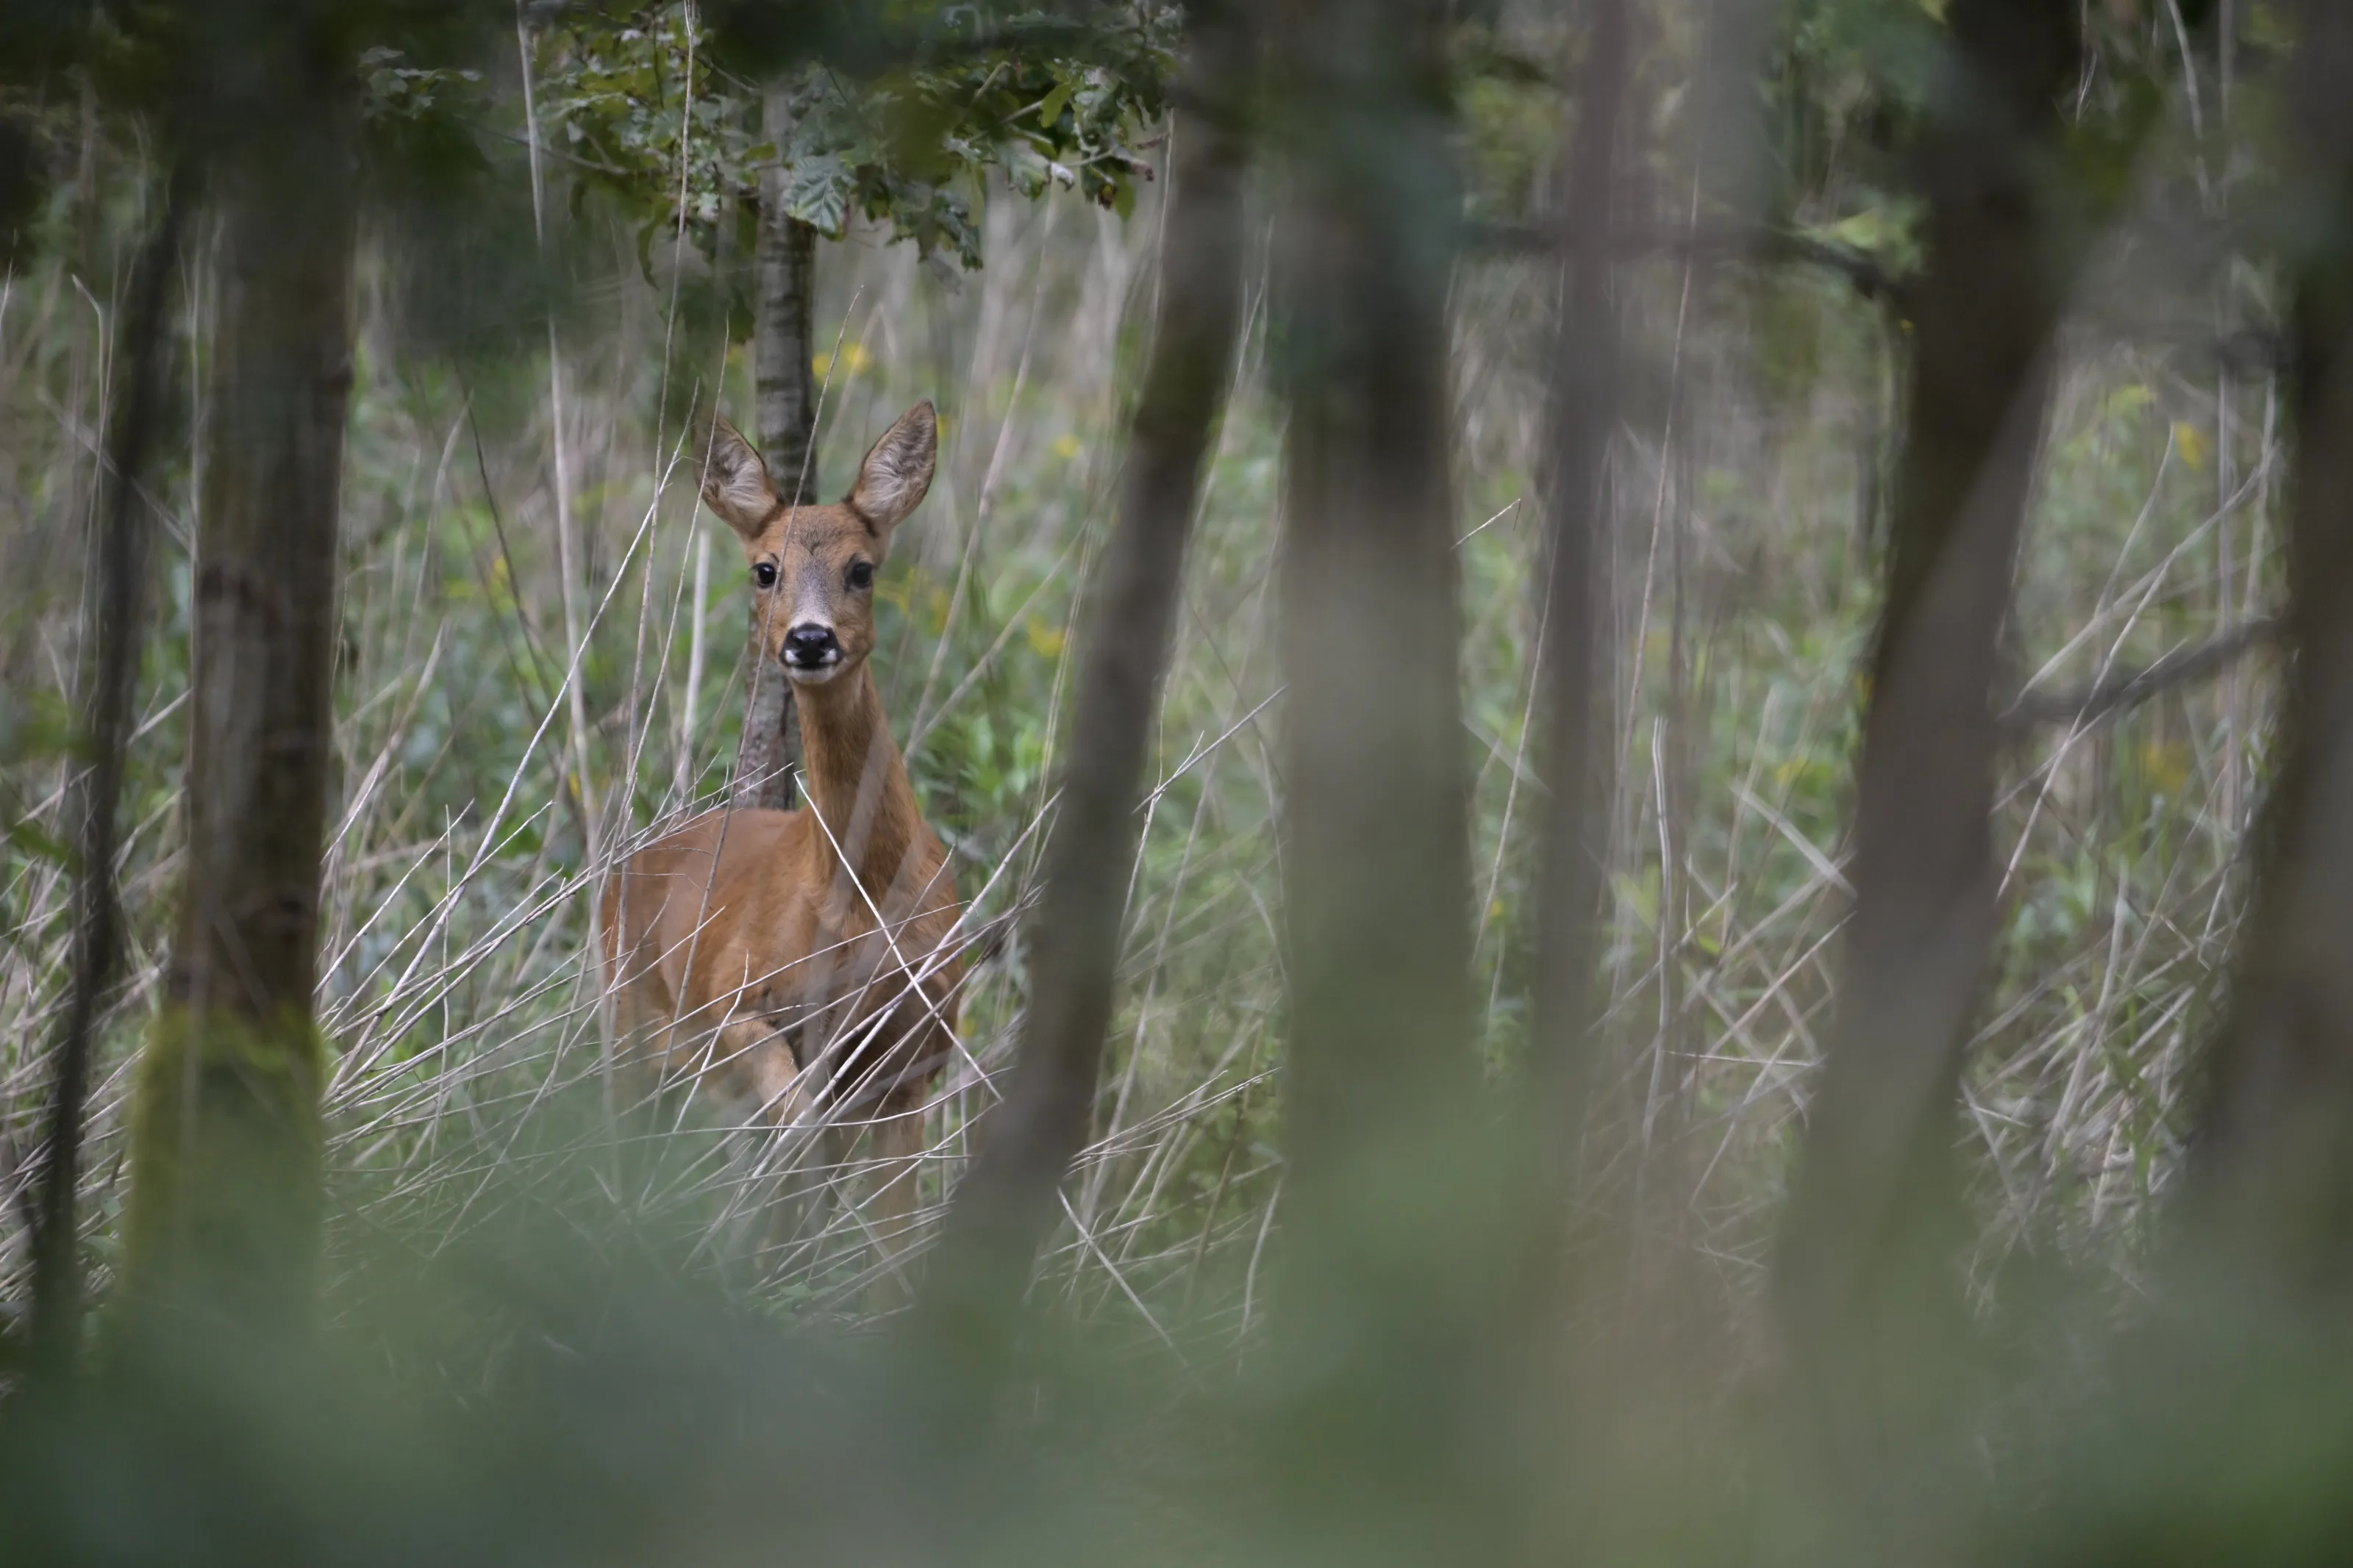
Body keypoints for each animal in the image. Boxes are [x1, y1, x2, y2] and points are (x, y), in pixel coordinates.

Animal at [601, 399, 964, 1295]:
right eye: (765, 569)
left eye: (863, 568)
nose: (807, 640)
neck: (859, 899)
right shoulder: (737, 1001)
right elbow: (796, 1129)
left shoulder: (914, 1058)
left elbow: (895, 1254)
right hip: (626, 1022)